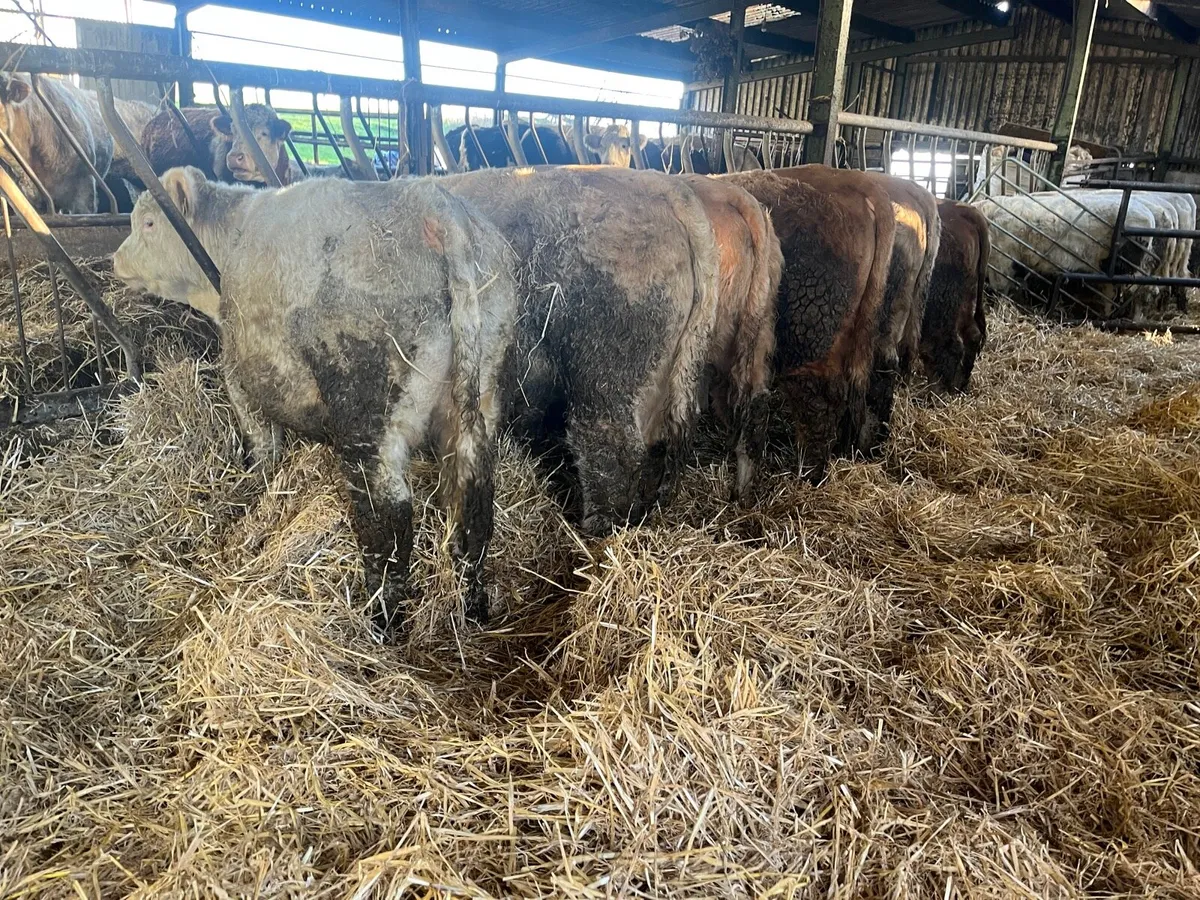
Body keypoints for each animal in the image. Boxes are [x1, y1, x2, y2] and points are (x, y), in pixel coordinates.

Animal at [111, 167, 518, 634]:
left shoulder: (240, 379)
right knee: (475, 505)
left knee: (389, 519)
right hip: (479, 397)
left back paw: (381, 617)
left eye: (148, 223)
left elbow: (263, 449)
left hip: (368, 416)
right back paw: (473, 606)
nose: (115, 260)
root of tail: (433, 203)